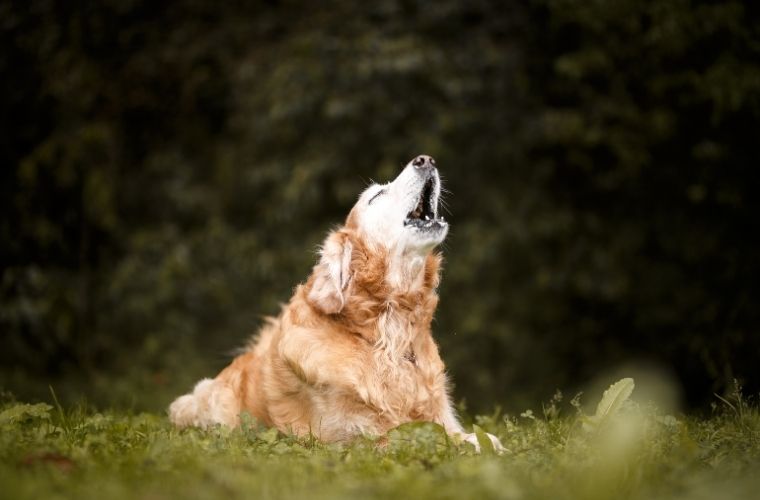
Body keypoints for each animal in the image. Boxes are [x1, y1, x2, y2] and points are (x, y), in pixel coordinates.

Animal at [172, 156, 504, 454]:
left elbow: (468, 435)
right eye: (376, 196)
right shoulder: (351, 438)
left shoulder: (441, 416)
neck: (387, 335)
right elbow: (423, 439)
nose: (426, 159)